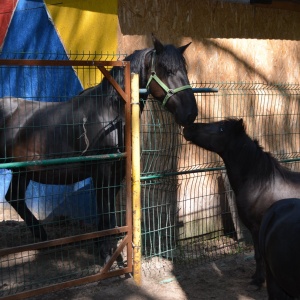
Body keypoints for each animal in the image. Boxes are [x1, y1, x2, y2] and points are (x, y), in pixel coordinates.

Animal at [0, 35, 199, 260]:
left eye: (184, 69)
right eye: (165, 69)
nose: (190, 113)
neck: (110, 114)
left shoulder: (117, 173)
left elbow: (109, 212)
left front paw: (108, 248)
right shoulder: (101, 172)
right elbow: (103, 209)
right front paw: (106, 251)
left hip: (22, 170)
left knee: (14, 197)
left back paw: (43, 238)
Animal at [183, 118, 300, 286]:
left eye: (221, 128)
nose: (188, 127)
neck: (259, 183)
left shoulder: (256, 227)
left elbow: (258, 255)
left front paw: (258, 280)